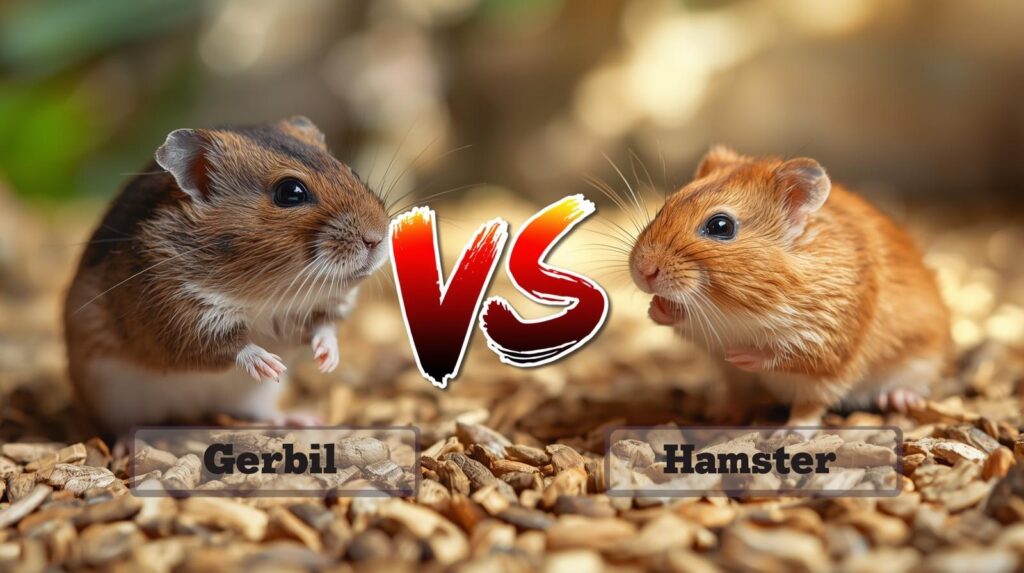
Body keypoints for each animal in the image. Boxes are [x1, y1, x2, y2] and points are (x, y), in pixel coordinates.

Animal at [64, 117, 388, 434]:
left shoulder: (326, 306)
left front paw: (327, 360)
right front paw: (271, 365)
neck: (269, 289)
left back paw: (302, 419)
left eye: (351, 171)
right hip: (114, 398)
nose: (377, 238)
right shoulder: (177, 314)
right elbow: (231, 345)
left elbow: (325, 327)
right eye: (290, 192)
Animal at [629, 146, 951, 426]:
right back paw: (720, 414)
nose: (642, 271)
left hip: (918, 359)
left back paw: (896, 399)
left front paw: (742, 355)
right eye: (665, 207)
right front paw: (656, 308)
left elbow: (789, 369)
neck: (738, 305)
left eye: (720, 226)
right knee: (736, 394)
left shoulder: (826, 348)